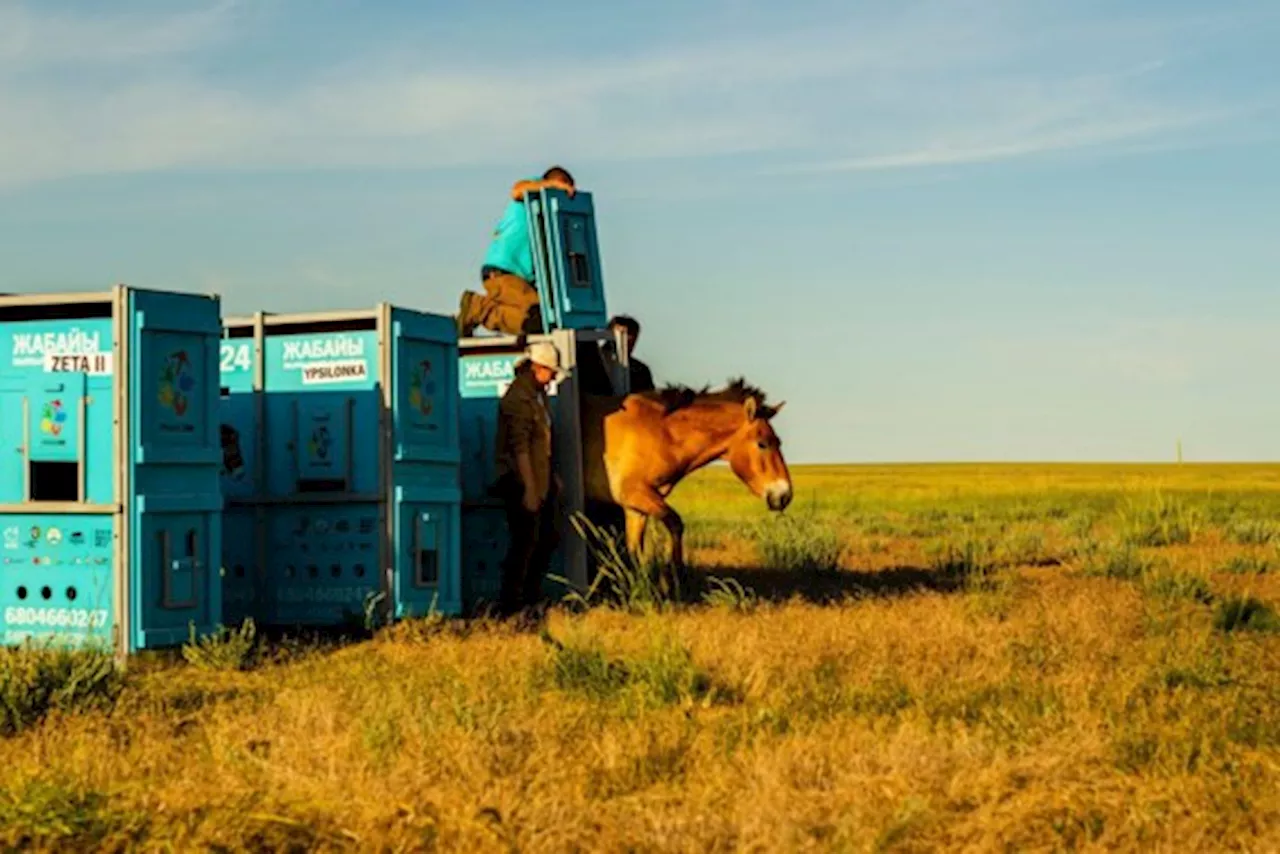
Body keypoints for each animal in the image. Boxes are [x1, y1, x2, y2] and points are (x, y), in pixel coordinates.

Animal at [578, 381, 788, 588]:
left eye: (778, 442)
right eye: (762, 443)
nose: (784, 495)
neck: (660, 431)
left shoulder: (635, 508)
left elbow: (634, 550)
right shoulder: (635, 494)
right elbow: (675, 524)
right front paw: (674, 577)